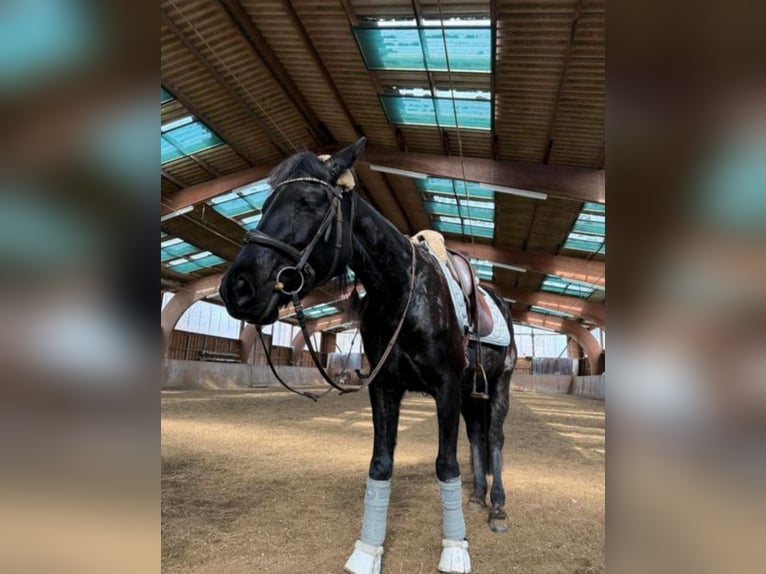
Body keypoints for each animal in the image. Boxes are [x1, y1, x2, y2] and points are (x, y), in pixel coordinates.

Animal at [219, 137, 516, 574]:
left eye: (310, 201)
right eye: (266, 202)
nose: (237, 287)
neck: (402, 291)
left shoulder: (445, 388)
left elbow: (446, 464)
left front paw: (455, 548)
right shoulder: (385, 388)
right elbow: (380, 464)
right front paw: (367, 551)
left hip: (498, 384)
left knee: (493, 436)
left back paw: (496, 506)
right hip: (469, 392)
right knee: (477, 435)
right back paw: (477, 497)